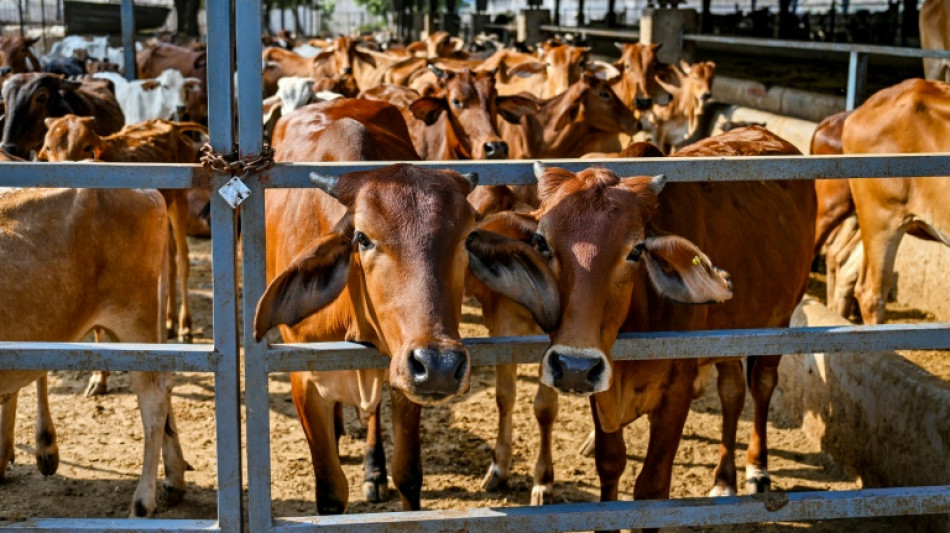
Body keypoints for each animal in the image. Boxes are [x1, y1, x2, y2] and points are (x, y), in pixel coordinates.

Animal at [0, 181, 186, 516]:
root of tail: (150, 193)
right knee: (165, 385)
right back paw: (174, 479)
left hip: (133, 317)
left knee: (153, 394)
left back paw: (142, 503)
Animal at [464, 124, 816, 508]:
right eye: (541, 242)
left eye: (636, 250)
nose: (574, 366)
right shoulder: (602, 389)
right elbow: (610, 464)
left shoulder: (676, 392)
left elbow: (652, 485)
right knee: (732, 392)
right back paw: (724, 479)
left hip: (779, 320)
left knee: (762, 385)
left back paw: (756, 470)